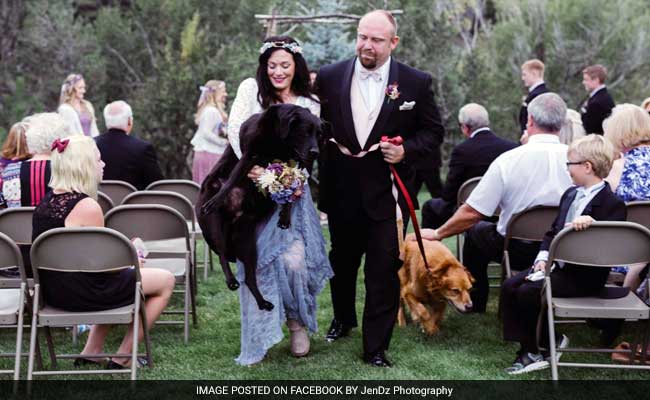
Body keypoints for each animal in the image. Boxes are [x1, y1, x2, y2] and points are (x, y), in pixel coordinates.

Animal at [196, 104, 320, 310]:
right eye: (305, 132)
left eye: (319, 134)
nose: (316, 152)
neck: (279, 139)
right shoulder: (249, 155)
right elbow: (233, 179)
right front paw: (217, 199)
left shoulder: (294, 165)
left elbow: (290, 193)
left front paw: (285, 217)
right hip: (214, 227)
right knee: (222, 254)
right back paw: (231, 280)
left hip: (247, 242)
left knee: (249, 278)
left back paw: (263, 302)